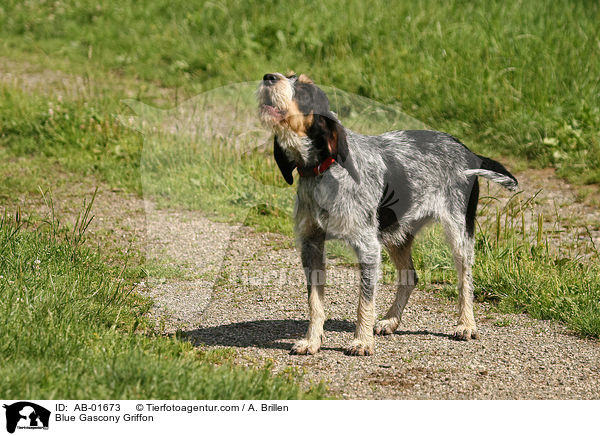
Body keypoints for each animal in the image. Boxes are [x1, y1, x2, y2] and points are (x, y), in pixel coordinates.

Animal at [255, 71, 516, 356]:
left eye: (303, 90)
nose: (268, 76)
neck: (323, 170)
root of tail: (469, 152)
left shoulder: (368, 247)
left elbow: (364, 301)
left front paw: (362, 341)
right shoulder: (311, 246)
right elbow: (315, 303)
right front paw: (312, 341)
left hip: (458, 232)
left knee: (465, 280)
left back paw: (466, 324)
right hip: (397, 234)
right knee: (410, 277)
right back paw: (391, 320)